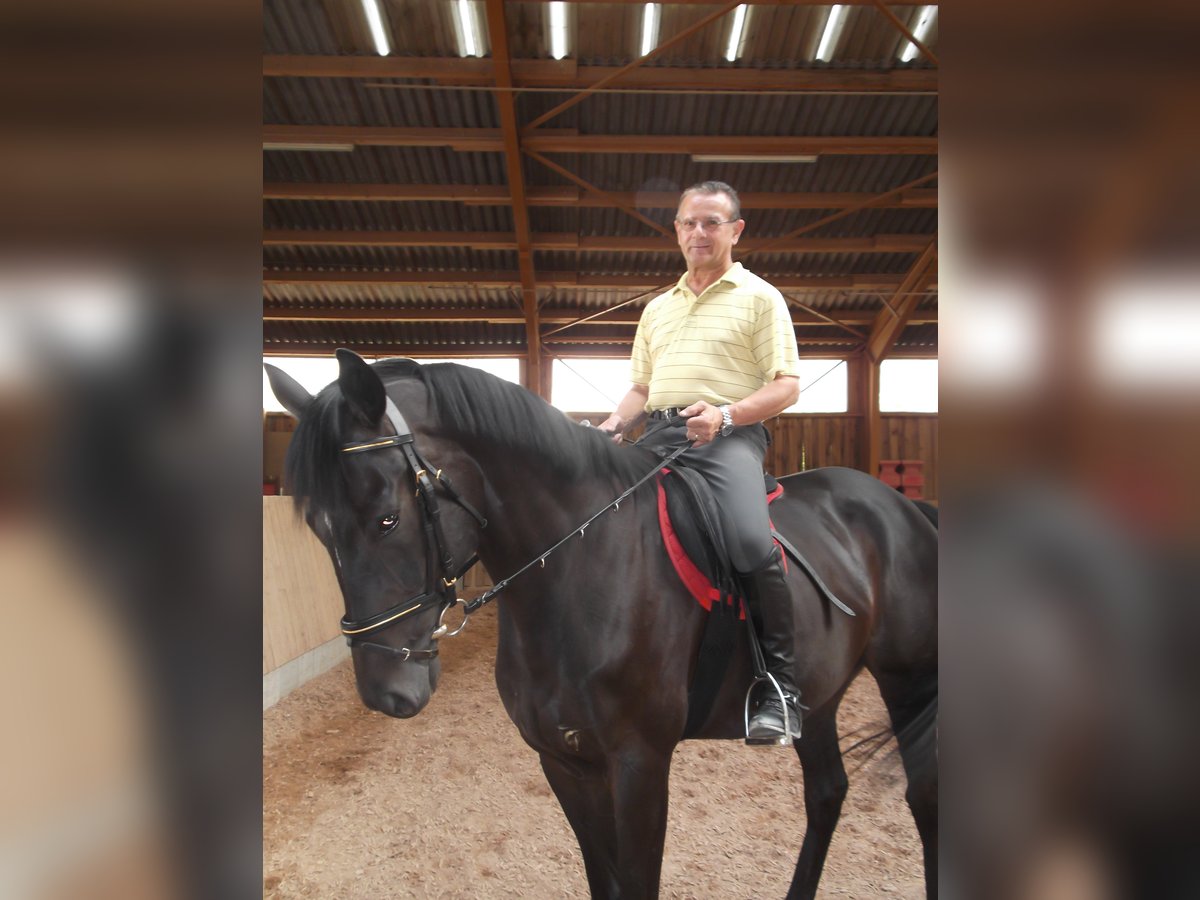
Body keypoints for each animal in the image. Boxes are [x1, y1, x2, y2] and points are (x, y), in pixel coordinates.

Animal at [266, 349, 938, 899]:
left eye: (386, 518)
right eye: (320, 528)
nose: (387, 692)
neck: (582, 570)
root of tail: (903, 507)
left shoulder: (640, 765)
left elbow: (635, 883)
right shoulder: (564, 762)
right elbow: (603, 879)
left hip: (909, 682)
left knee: (923, 800)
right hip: (819, 696)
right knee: (826, 793)